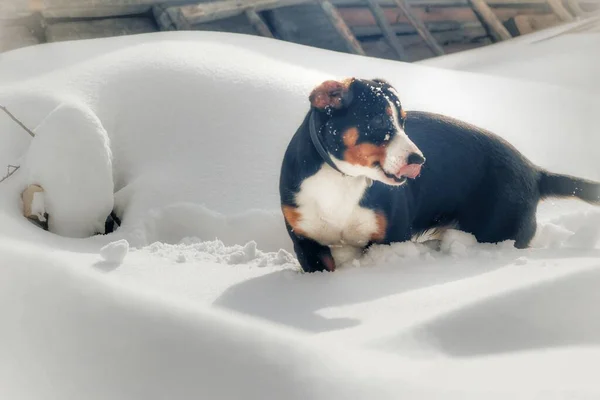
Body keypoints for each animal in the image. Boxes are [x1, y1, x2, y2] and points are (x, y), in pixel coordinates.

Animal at [280, 77, 600, 272]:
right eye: (378, 119)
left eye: (404, 122)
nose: (419, 160)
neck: (342, 181)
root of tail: (534, 171)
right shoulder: (307, 244)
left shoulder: (392, 237)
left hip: (495, 231)